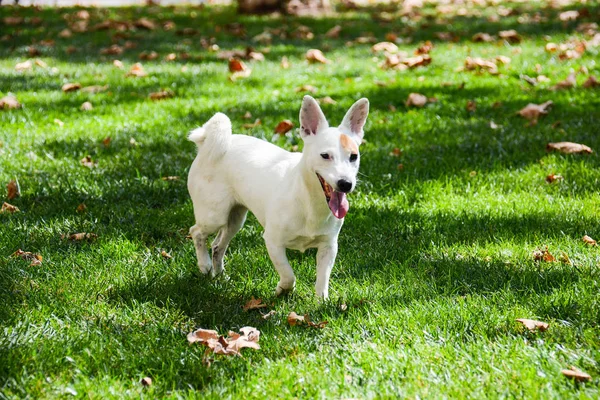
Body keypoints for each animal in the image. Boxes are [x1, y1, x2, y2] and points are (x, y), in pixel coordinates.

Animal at [188, 96, 368, 296]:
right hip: (214, 217)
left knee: (217, 246)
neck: (309, 202)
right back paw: (204, 265)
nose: (346, 183)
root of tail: (205, 144)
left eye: (353, 156)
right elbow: (288, 274)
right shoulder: (273, 242)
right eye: (325, 155)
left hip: (235, 220)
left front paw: (321, 301)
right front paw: (283, 290)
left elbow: (322, 281)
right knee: (196, 232)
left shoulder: (328, 247)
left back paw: (220, 276)